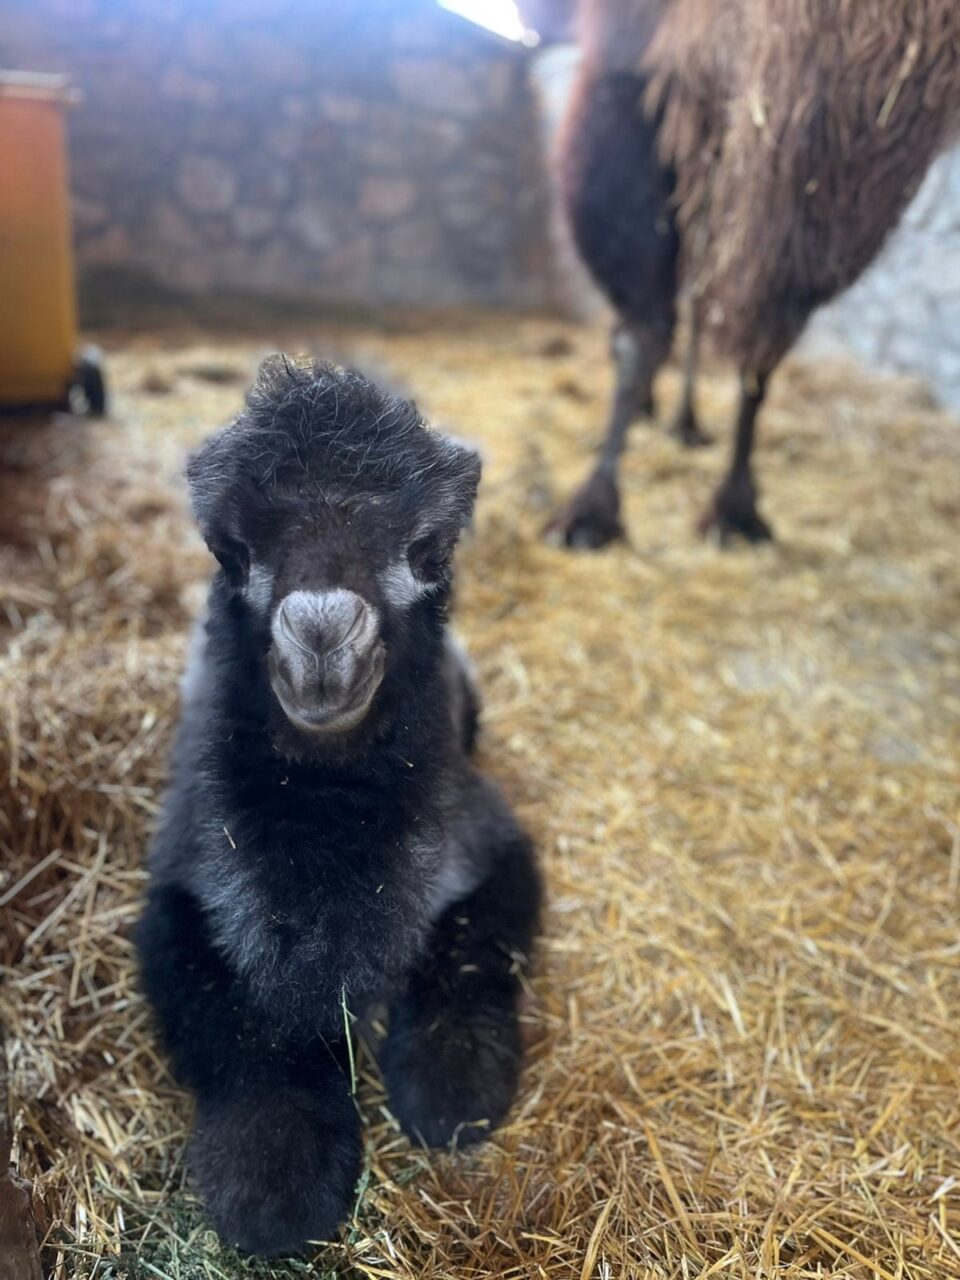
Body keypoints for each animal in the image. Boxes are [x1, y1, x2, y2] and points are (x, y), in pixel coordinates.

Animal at [134, 360, 542, 1259]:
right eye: (230, 549)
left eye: (427, 550)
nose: (322, 636)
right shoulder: (180, 881)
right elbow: (237, 1026)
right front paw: (275, 1181)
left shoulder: (489, 840)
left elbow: (474, 947)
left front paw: (450, 1090)